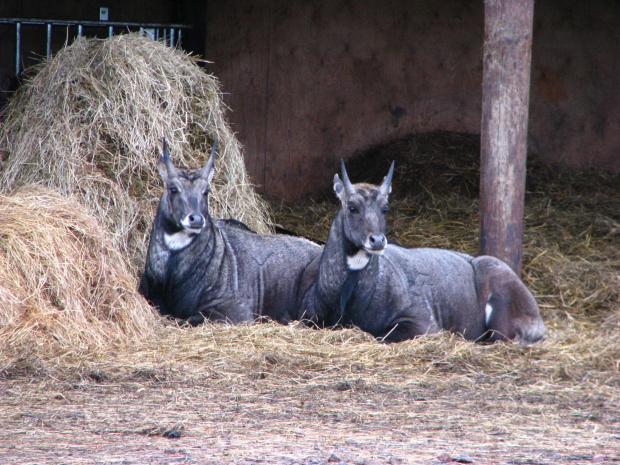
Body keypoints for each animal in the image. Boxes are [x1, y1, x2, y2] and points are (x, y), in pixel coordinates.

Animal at [139, 140, 322, 324]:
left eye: (206, 191)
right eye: (173, 189)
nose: (196, 219)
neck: (171, 276)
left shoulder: (235, 311)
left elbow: (186, 319)